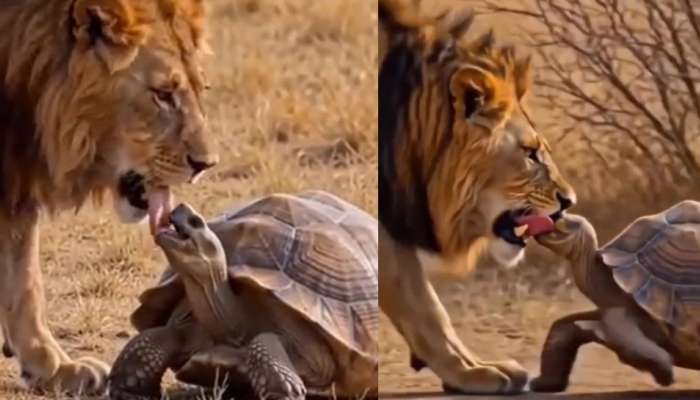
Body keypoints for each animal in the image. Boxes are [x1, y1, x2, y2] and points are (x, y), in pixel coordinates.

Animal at [0, 0, 218, 395]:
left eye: (201, 87)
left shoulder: (16, 171)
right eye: (163, 94)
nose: (206, 164)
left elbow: (22, 277)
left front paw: (52, 368)